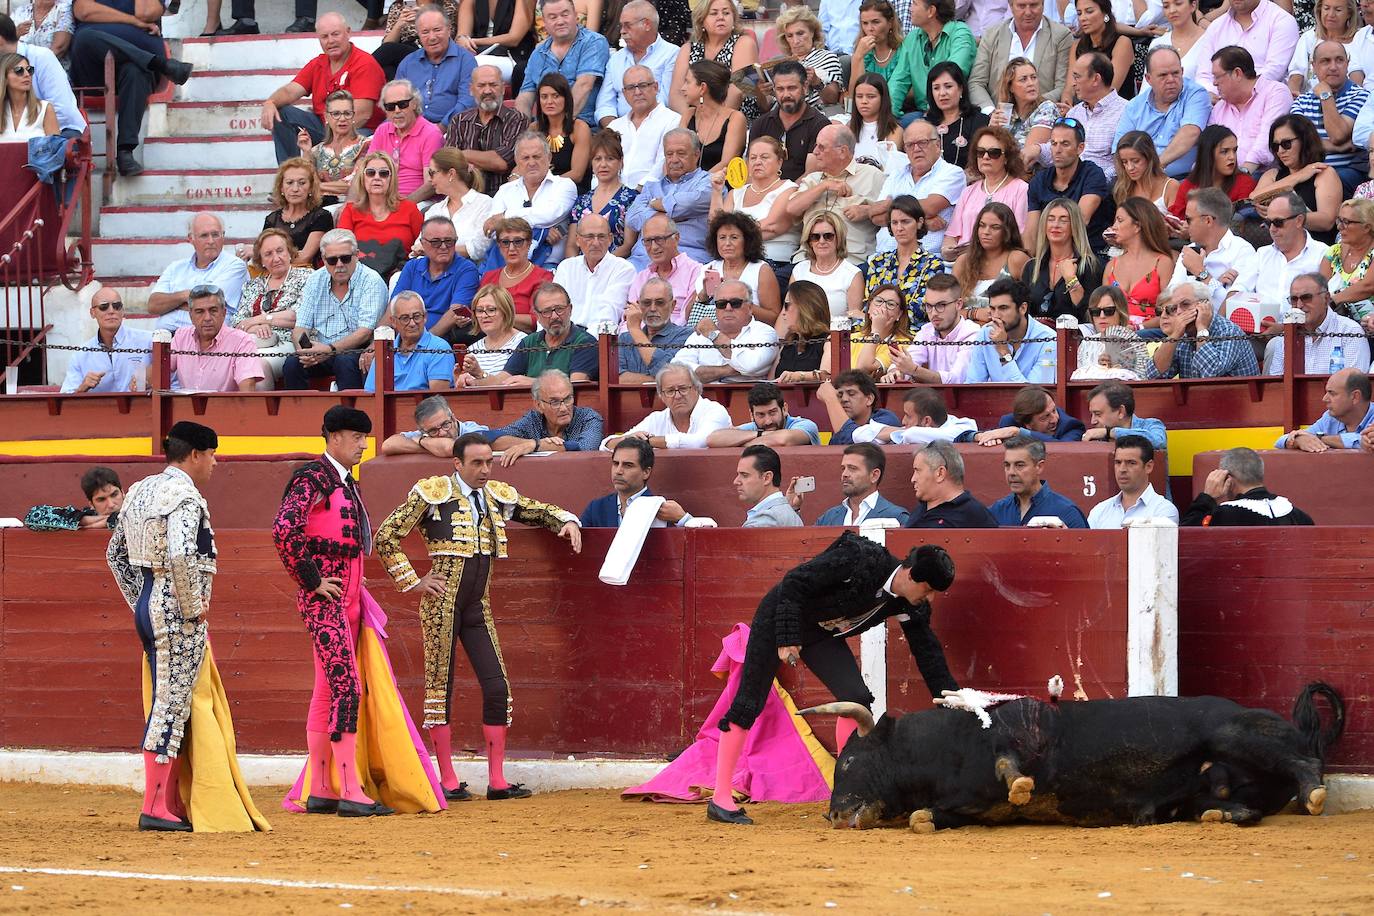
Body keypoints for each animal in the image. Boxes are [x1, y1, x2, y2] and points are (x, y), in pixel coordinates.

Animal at [802, 683, 1341, 834]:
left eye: (847, 764)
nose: (833, 815)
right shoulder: (964, 807)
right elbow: (922, 817)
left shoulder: (1013, 738)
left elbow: (1010, 768)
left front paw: (1021, 786)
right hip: (1216, 785)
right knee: (1240, 807)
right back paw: (1215, 813)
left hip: (1234, 733)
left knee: (1302, 763)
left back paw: (1314, 795)